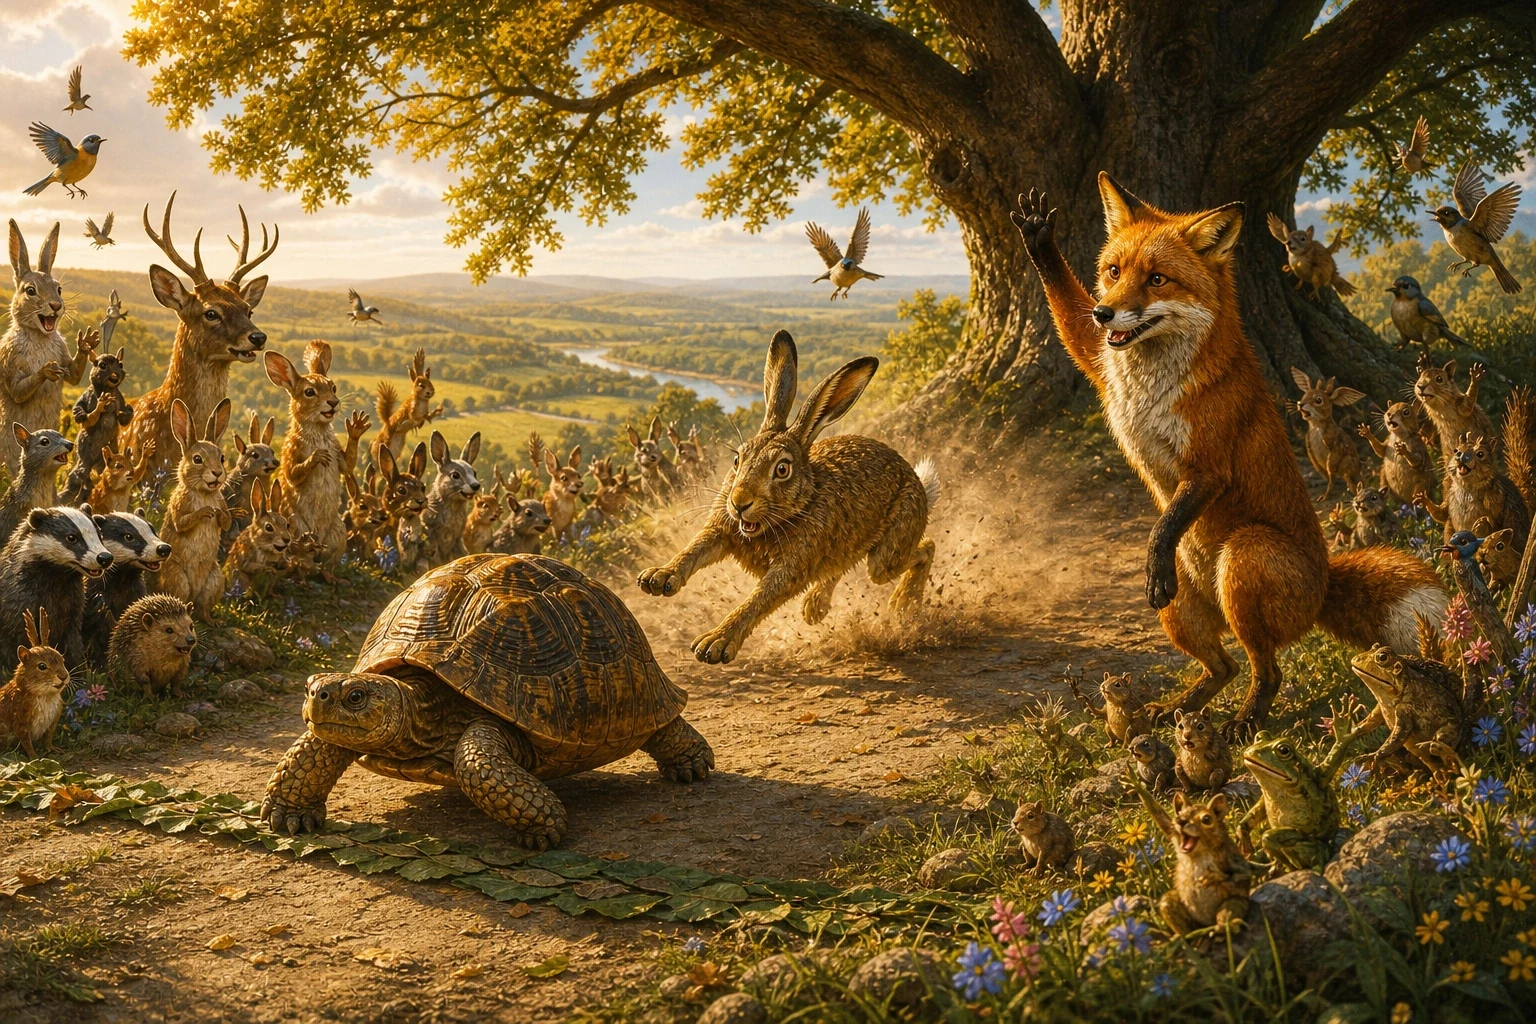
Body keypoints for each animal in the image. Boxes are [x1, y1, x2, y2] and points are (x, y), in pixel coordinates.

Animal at [0, 220, 97, 482]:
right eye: (30, 291)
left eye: (59, 288)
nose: (55, 305)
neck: (39, 335)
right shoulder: (9, 361)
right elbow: (18, 390)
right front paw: (47, 369)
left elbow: (74, 375)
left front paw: (87, 342)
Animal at [156, 397, 233, 622]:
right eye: (197, 459)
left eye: (222, 458)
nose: (217, 473)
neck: (204, 493)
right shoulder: (179, 508)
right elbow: (182, 523)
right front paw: (206, 512)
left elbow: (227, 521)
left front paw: (218, 515)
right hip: (177, 578)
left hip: (215, 579)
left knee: (203, 608)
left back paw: (212, 621)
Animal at [266, 342, 346, 577]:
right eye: (309, 392)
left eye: (333, 387)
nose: (333, 403)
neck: (318, 431)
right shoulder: (291, 455)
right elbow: (294, 474)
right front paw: (318, 456)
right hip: (295, 525)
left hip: (339, 533)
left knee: (328, 564)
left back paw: (333, 578)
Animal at [639, 330, 938, 663]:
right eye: (737, 460)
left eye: (782, 469)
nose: (739, 503)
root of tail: (916, 480)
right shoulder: (721, 529)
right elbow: (693, 549)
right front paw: (657, 578)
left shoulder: (792, 565)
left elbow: (759, 599)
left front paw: (715, 643)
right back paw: (815, 608)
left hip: (889, 551)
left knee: (922, 549)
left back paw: (902, 603)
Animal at [1290, 368, 1365, 501]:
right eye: (1304, 395)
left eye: (1318, 400)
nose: (1300, 404)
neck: (1316, 426)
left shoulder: (1333, 446)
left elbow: (1332, 474)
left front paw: (1324, 497)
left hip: (1347, 462)